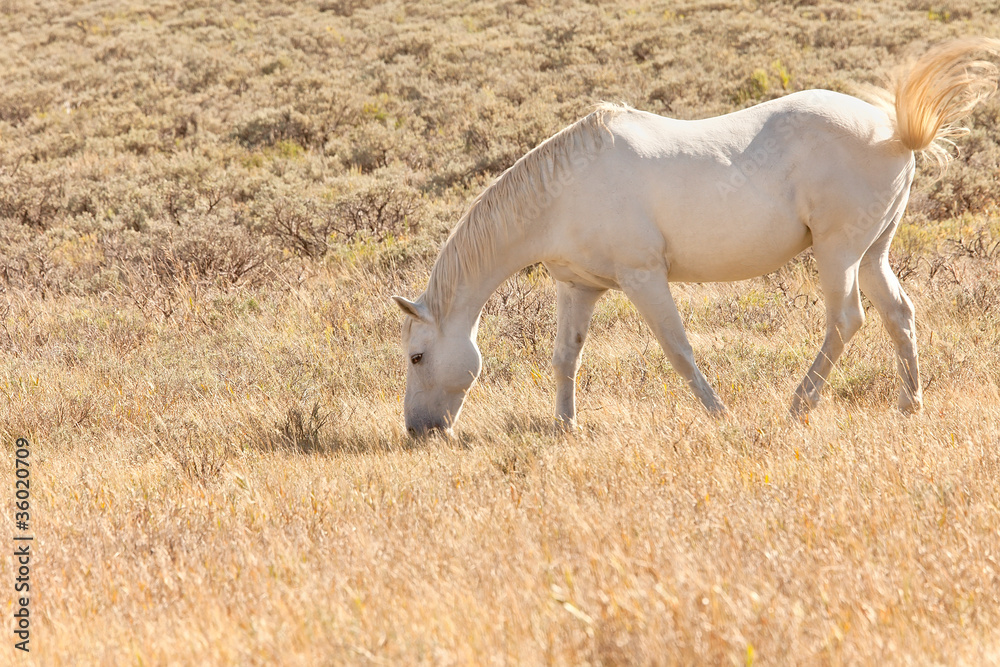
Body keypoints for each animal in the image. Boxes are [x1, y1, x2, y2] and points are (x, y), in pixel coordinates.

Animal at [392, 39, 1000, 435]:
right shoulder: (578, 287)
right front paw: (564, 426)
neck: (566, 191)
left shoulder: (644, 278)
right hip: (873, 254)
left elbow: (678, 350)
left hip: (839, 253)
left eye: (418, 356)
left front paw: (718, 414)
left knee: (846, 321)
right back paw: (908, 407)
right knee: (899, 315)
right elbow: (566, 356)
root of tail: (894, 133)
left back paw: (800, 405)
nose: (419, 431)